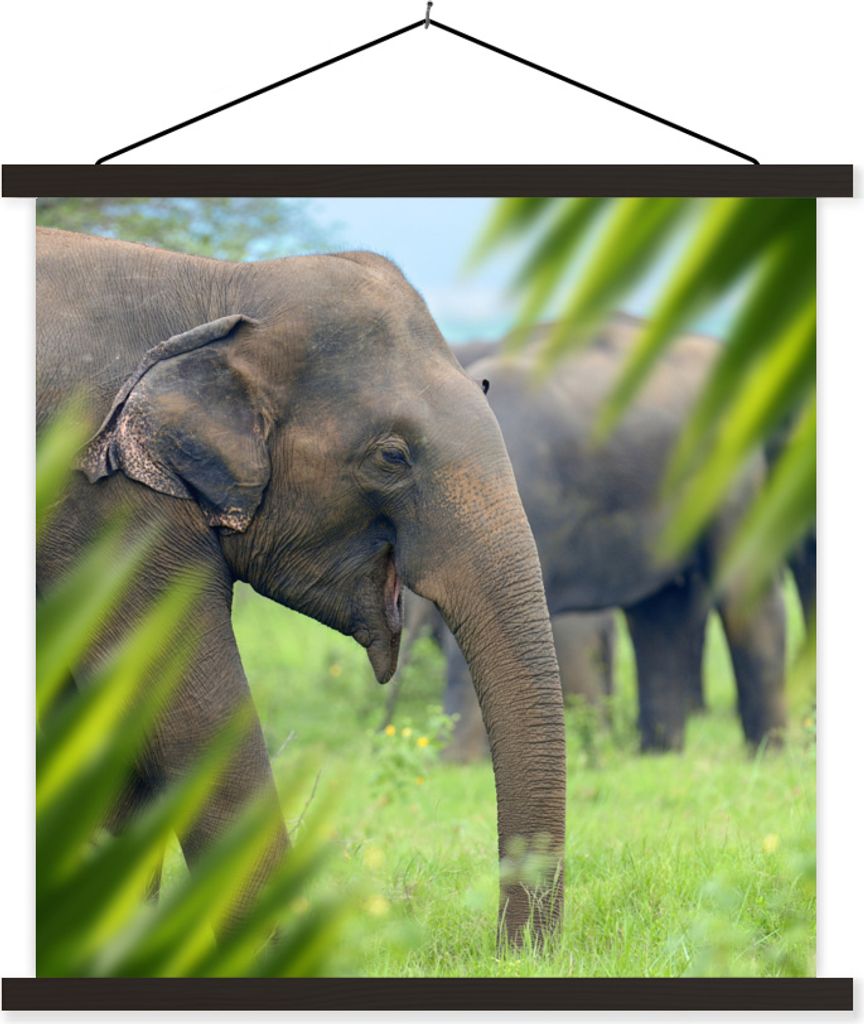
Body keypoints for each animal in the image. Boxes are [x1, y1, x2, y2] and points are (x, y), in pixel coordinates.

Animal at [437, 316, 788, 756]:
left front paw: (455, 762)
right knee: (661, 613)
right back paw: (659, 753)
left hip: (729, 468)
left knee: (741, 596)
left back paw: (768, 752)